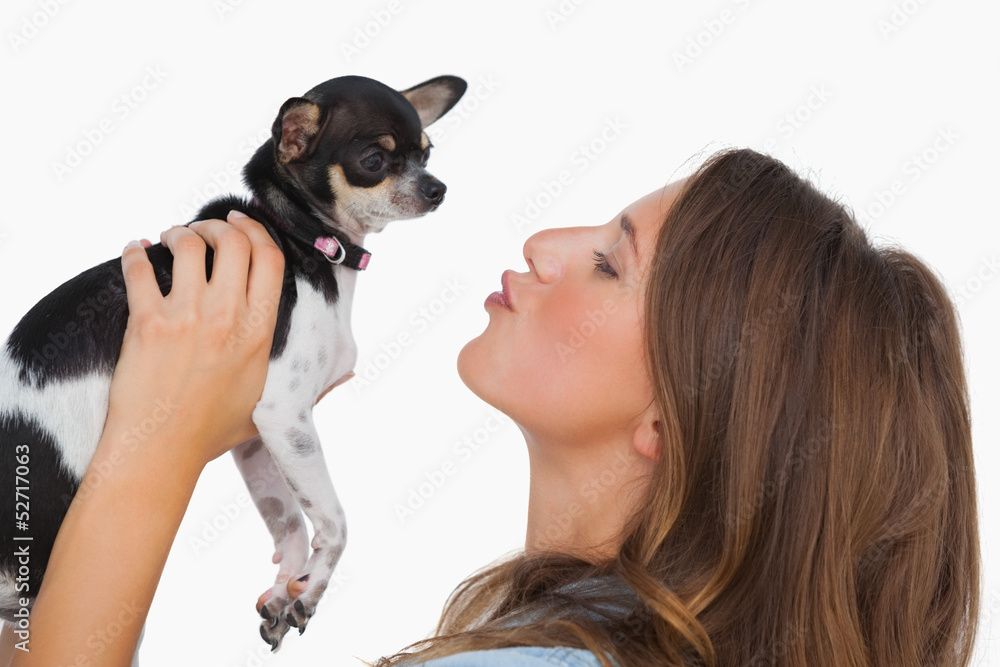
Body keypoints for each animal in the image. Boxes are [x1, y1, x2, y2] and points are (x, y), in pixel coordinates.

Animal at [0, 73, 468, 652]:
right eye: (373, 161)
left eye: (427, 154)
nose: (437, 188)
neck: (301, 234)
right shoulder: (285, 416)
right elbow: (334, 523)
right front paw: (313, 588)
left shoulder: (255, 436)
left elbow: (290, 520)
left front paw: (287, 589)